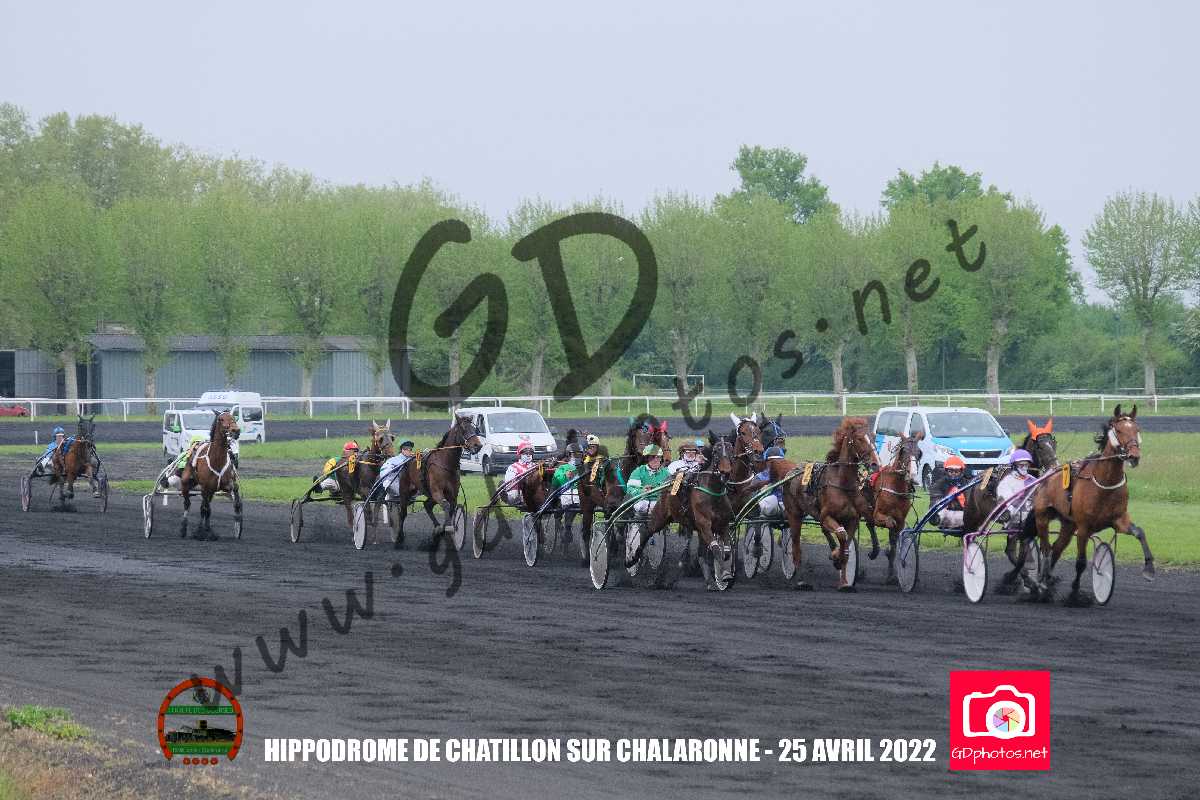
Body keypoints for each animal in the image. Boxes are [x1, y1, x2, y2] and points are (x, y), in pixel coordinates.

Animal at [178, 411, 241, 540]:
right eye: (221, 419)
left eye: (233, 417)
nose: (235, 430)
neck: (216, 461)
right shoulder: (205, 487)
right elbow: (206, 509)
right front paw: (205, 531)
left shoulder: (226, 485)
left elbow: (236, 493)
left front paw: (238, 518)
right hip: (186, 483)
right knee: (188, 504)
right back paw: (184, 528)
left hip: (210, 491)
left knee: (204, 507)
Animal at [390, 414, 483, 547]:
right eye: (463, 429)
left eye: (475, 429)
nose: (478, 445)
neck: (446, 464)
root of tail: (406, 461)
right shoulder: (437, 491)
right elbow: (446, 506)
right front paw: (446, 529)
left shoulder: (452, 495)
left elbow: (450, 508)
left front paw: (442, 531)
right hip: (405, 491)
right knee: (403, 513)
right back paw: (399, 538)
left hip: (429, 494)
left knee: (427, 505)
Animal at [1025, 405, 1153, 605]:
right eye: (1119, 430)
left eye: (1137, 429)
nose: (1134, 456)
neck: (1104, 483)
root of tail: (1048, 473)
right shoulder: (1084, 528)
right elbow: (1081, 562)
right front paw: (1074, 594)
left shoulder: (1119, 520)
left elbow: (1140, 532)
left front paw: (1149, 569)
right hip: (1042, 517)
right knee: (1046, 549)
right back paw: (1041, 583)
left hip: (1068, 524)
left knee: (1056, 549)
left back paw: (1048, 581)